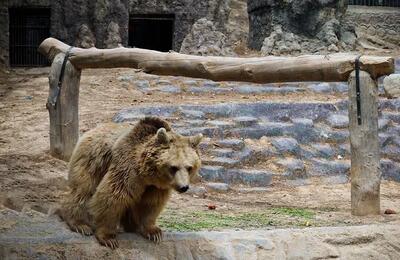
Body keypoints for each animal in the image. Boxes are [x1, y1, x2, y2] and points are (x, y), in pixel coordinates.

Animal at [57, 117, 203, 249]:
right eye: (173, 167)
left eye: (189, 167)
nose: (183, 187)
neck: (148, 173)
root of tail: (93, 129)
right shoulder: (127, 169)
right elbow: (113, 196)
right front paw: (108, 238)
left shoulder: (155, 187)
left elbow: (151, 204)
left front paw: (154, 232)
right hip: (93, 160)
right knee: (83, 190)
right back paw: (80, 224)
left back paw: (131, 226)